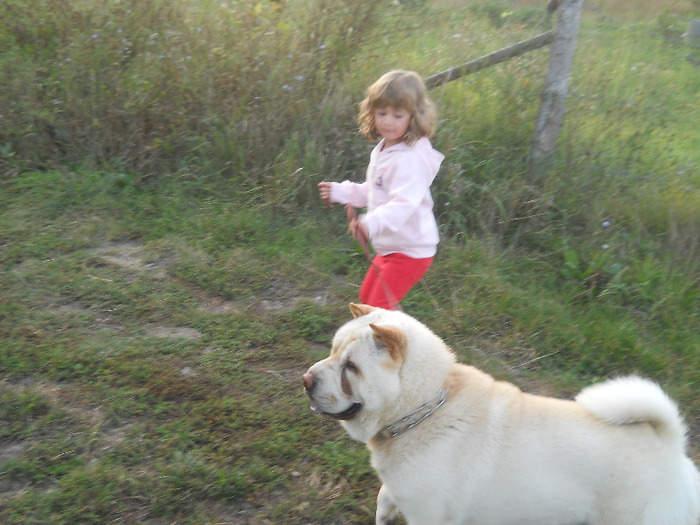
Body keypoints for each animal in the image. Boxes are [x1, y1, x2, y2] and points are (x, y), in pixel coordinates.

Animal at [304, 302, 700, 524]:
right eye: (332, 350)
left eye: (351, 368)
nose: (306, 379)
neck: (424, 407)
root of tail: (670, 447)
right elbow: (385, 497)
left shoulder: (431, 516)